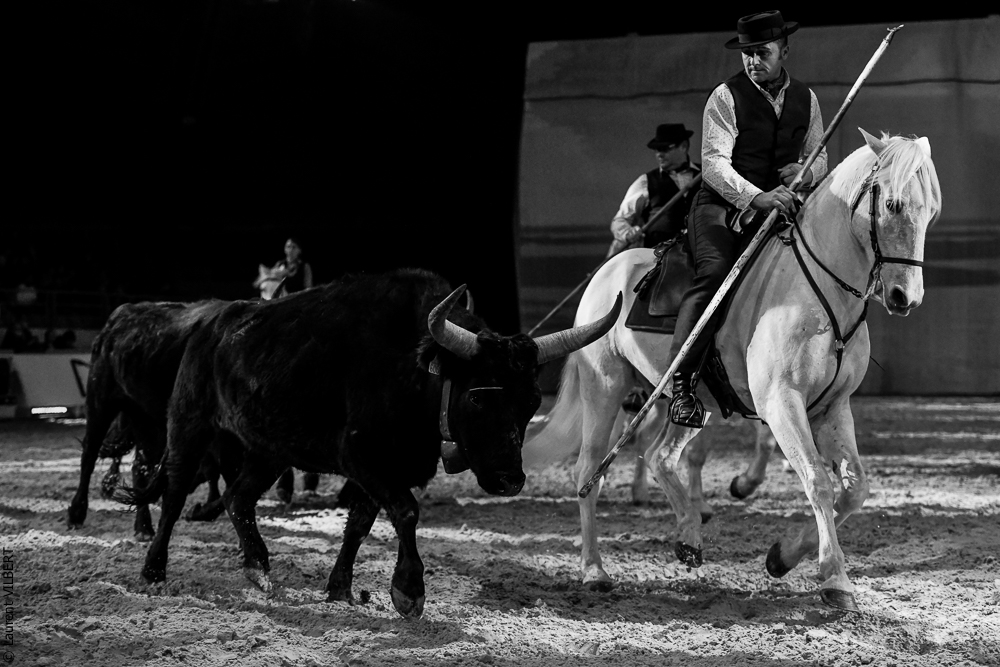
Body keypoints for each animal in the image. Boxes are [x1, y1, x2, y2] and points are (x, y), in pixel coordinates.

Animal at [523, 129, 940, 611]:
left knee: (660, 455)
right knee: (590, 470)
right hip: (604, 390)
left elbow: (854, 489)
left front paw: (781, 558)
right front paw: (835, 579)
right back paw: (595, 570)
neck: (821, 291)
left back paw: (688, 535)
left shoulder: (832, 407)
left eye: (930, 210)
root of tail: (609, 271)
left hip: (691, 401)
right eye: (892, 204)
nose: (905, 297)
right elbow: (817, 480)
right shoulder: (781, 402)